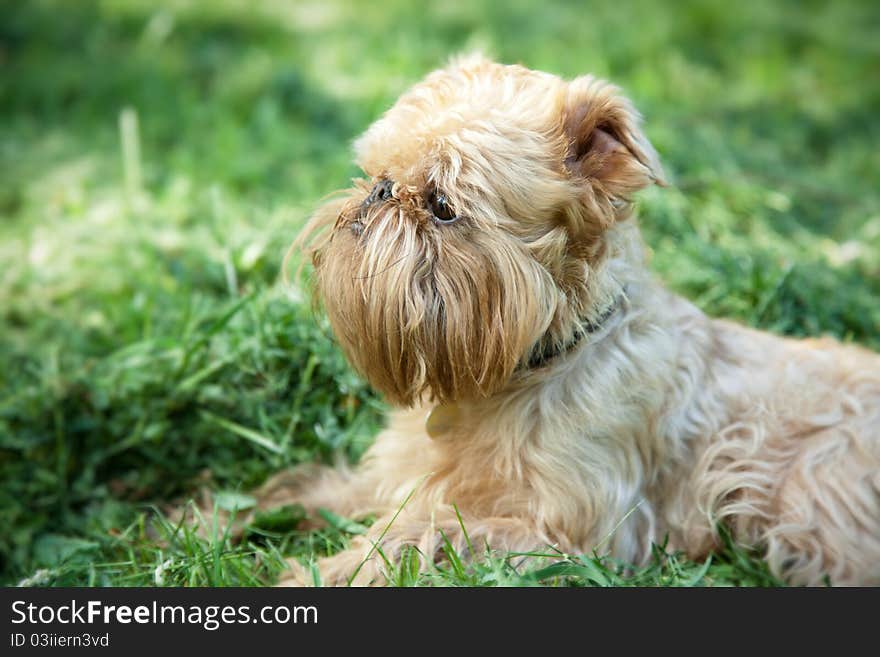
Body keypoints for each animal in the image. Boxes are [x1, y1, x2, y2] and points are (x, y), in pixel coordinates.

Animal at [258, 55, 876, 584]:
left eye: (441, 206)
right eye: (376, 173)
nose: (383, 192)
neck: (535, 360)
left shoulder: (561, 540)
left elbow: (422, 534)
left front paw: (327, 571)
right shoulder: (393, 478)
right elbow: (321, 491)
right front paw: (242, 514)